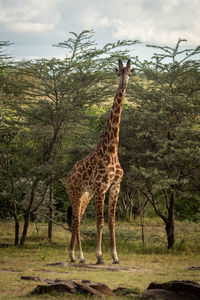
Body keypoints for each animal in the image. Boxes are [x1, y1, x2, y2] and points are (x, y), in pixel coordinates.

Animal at [66, 59, 134, 264]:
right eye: (119, 72)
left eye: (130, 72)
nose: (124, 83)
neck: (111, 150)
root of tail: (67, 176)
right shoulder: (101, 187)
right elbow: (100, 221)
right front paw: (99, 256)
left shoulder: (115, 186)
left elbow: (111, 221)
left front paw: (115, 256)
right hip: (75, 191)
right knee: (76, 220)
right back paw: (78, 256)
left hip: (86, 194)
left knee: (78, 218)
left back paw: (75, 256)